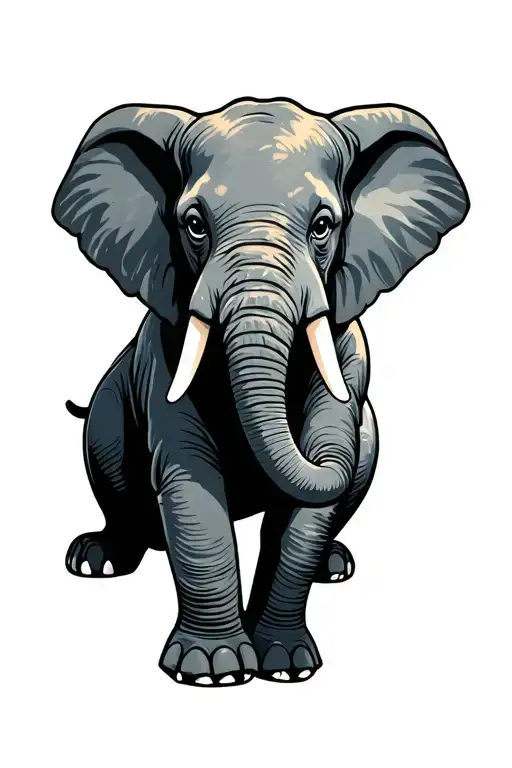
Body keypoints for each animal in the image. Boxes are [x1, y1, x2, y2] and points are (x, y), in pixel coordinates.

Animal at [52, 98, 469, 687]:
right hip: (108, 414)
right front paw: (214, 671)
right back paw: (98, 559)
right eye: (194, 224)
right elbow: (190, 476)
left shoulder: (349, 357)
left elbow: (316, 483)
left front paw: (287, 667)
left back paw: (333, 566)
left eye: (323, 226)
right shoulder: (164, 355)